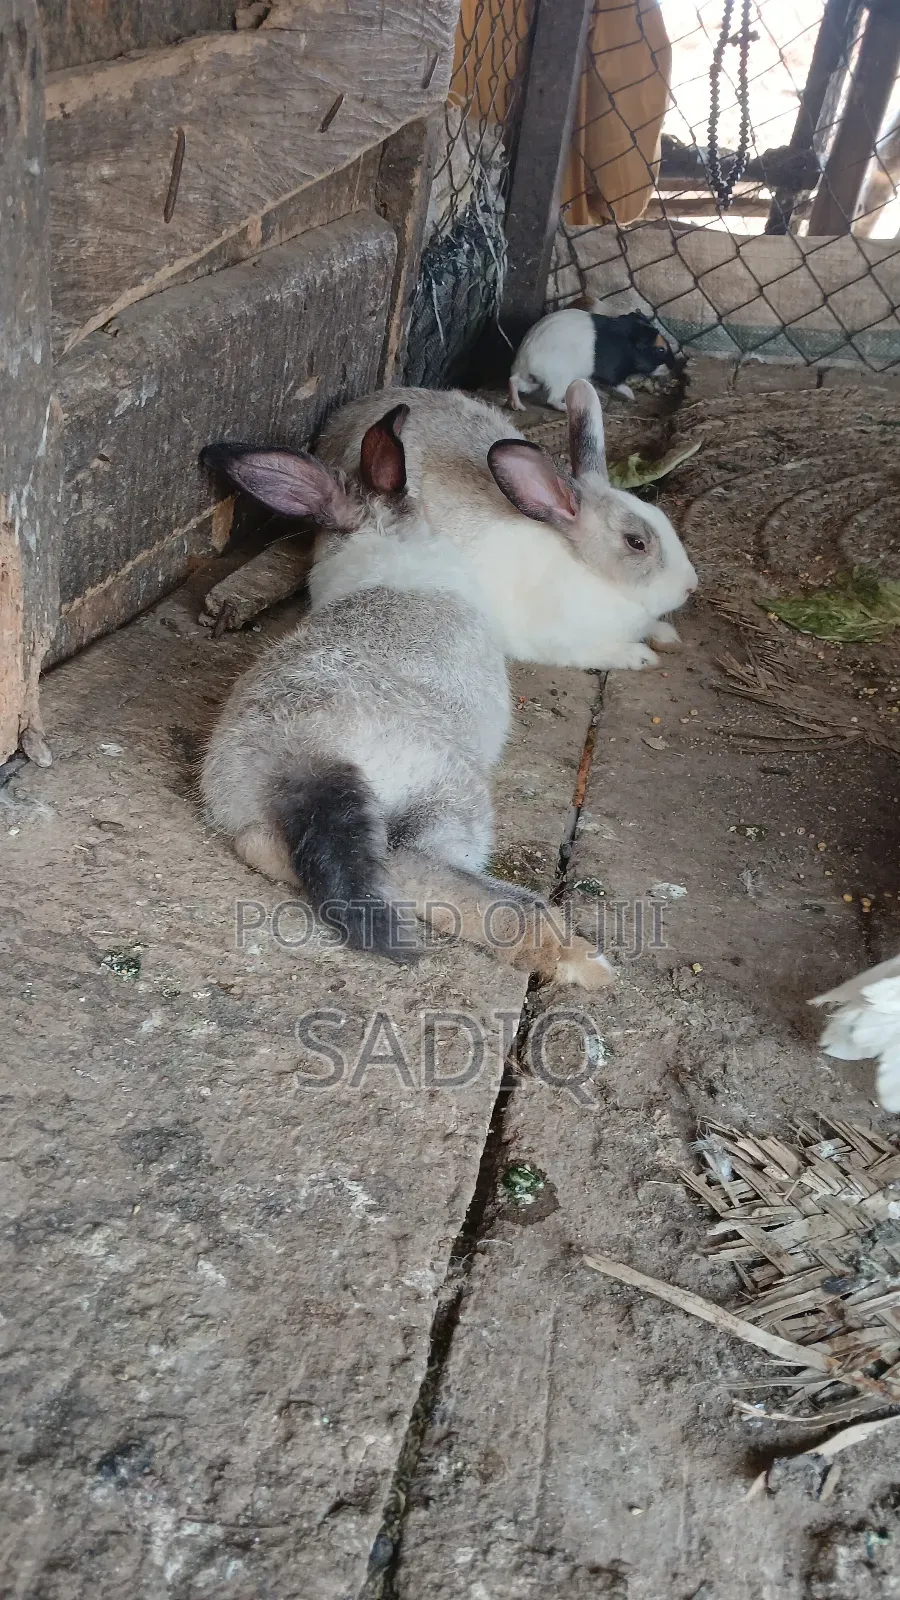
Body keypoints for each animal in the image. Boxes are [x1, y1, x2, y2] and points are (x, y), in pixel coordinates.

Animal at [200, 405, 615, 990]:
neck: (382, 547)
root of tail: (303, 759)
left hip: (266, 822)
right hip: (449, 802)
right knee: (418, 869)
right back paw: (583, 961)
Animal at [318, 379, 697, 672]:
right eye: (636, 542)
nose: (690, 587)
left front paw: (666, 636)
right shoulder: (566, 645)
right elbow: (602, 652)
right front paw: (641, 656)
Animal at [507, 307, 681, 410]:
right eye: (660, 350)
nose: (673, 365)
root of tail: (524, 359)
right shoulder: (612, 375)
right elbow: (620, 385)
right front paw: (632, 396)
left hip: (532, 382)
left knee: (513, 381)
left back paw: (518, 406)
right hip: (559, 382)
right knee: (552, 400)